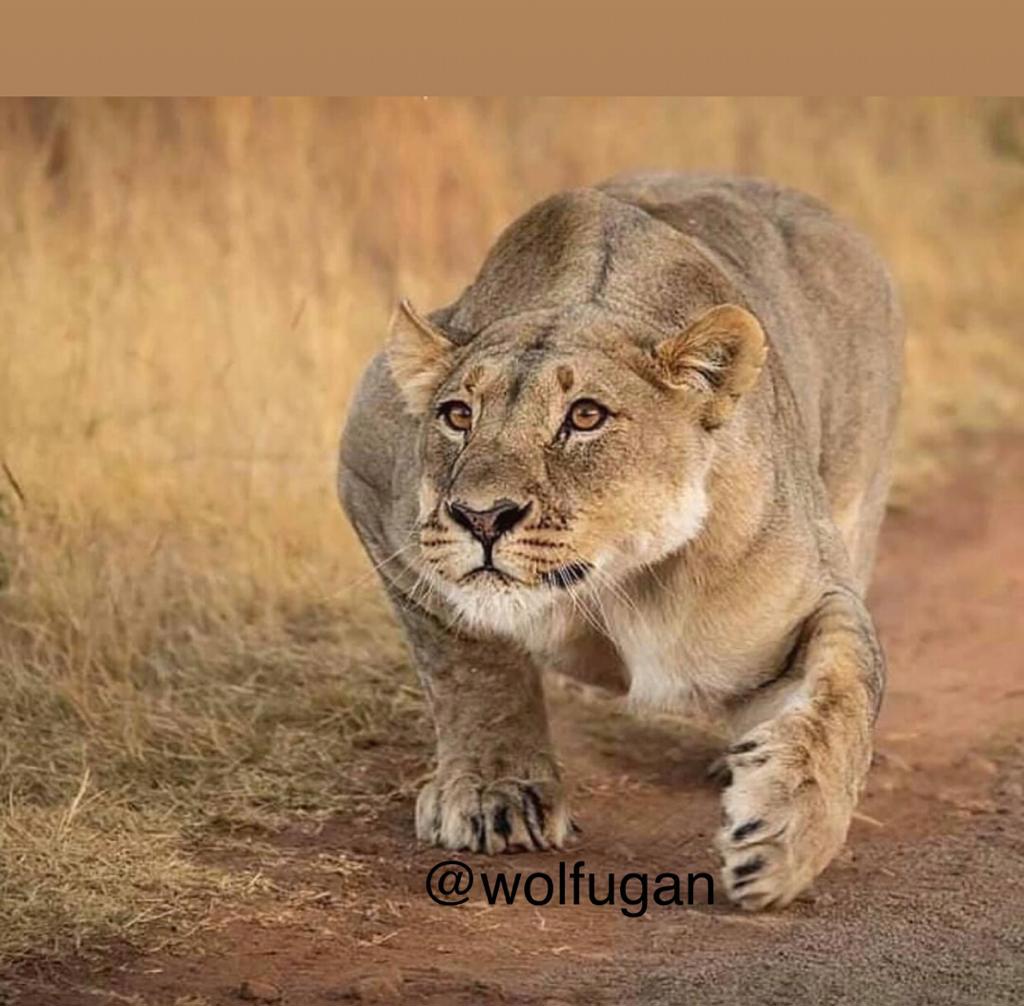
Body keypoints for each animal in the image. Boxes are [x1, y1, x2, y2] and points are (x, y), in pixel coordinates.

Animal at [338, 171, 903, 910]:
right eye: (457, 415)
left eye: (585, 417)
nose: (481, 517)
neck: (619, 579)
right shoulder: (372, 484)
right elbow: (469, 664)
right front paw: (495, 793)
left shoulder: (809, 596)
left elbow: (845, 690)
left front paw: (784, 835)